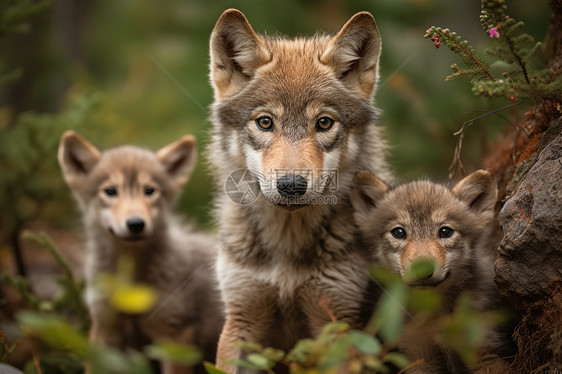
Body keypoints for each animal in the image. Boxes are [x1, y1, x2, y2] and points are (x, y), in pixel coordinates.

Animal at [208, 8, 392, 372]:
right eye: (265, 122)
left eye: (324, 123)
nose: (291, 185)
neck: (287, 242)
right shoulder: (241, 320)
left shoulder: (336, 324)